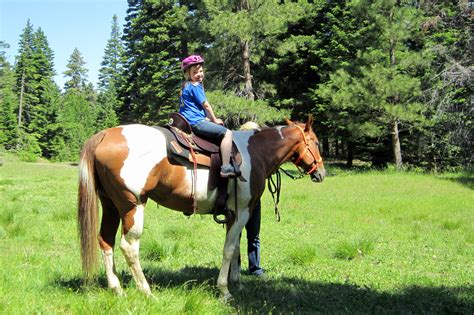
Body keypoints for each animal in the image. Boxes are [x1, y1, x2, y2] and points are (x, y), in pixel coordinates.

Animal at [78, 115, 326, 302]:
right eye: (315, 142)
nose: (321, 173)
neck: (254, 153)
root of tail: (105, 134)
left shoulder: (233, 214)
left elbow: (235, 248)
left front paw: (236, 283)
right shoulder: (243, 211)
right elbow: (228, 250)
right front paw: (224, 290)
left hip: (110, 205)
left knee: (106, 241)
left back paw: (117, 289)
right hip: (132, 206)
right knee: (128, 247)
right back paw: (146, 291)